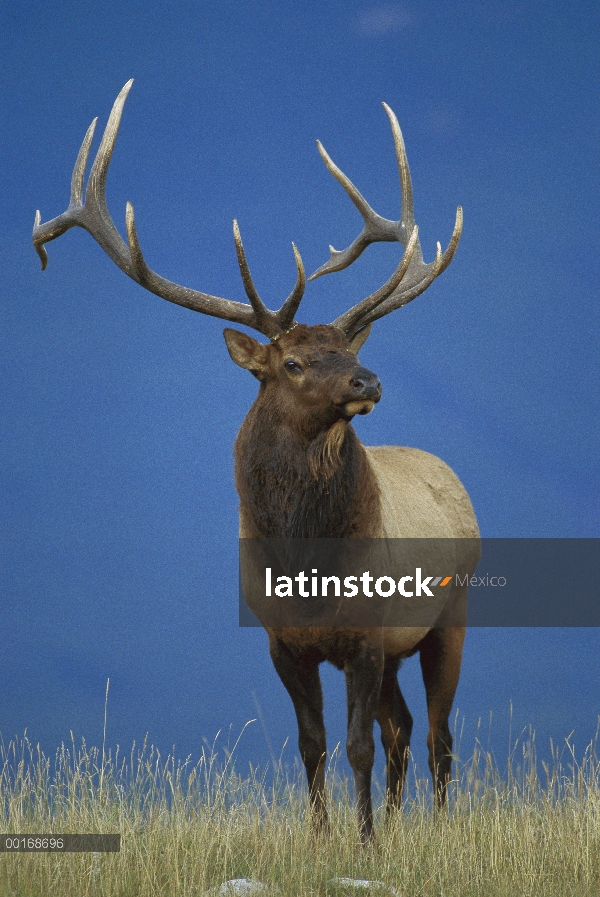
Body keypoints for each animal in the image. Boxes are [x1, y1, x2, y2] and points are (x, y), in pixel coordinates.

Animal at [35, 82, 480, 840]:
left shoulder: (365, 635)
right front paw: (327, 837)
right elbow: (313, 744)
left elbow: (357, 744)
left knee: (436, 735)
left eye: (348, 349)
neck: (308, 566)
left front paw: (363, 843)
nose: (369, 381)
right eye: (294, 362)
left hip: (450, 615)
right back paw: (398, 823)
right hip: (403, 642)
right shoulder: (282, 641)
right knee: (403, 728)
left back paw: (435, 828)